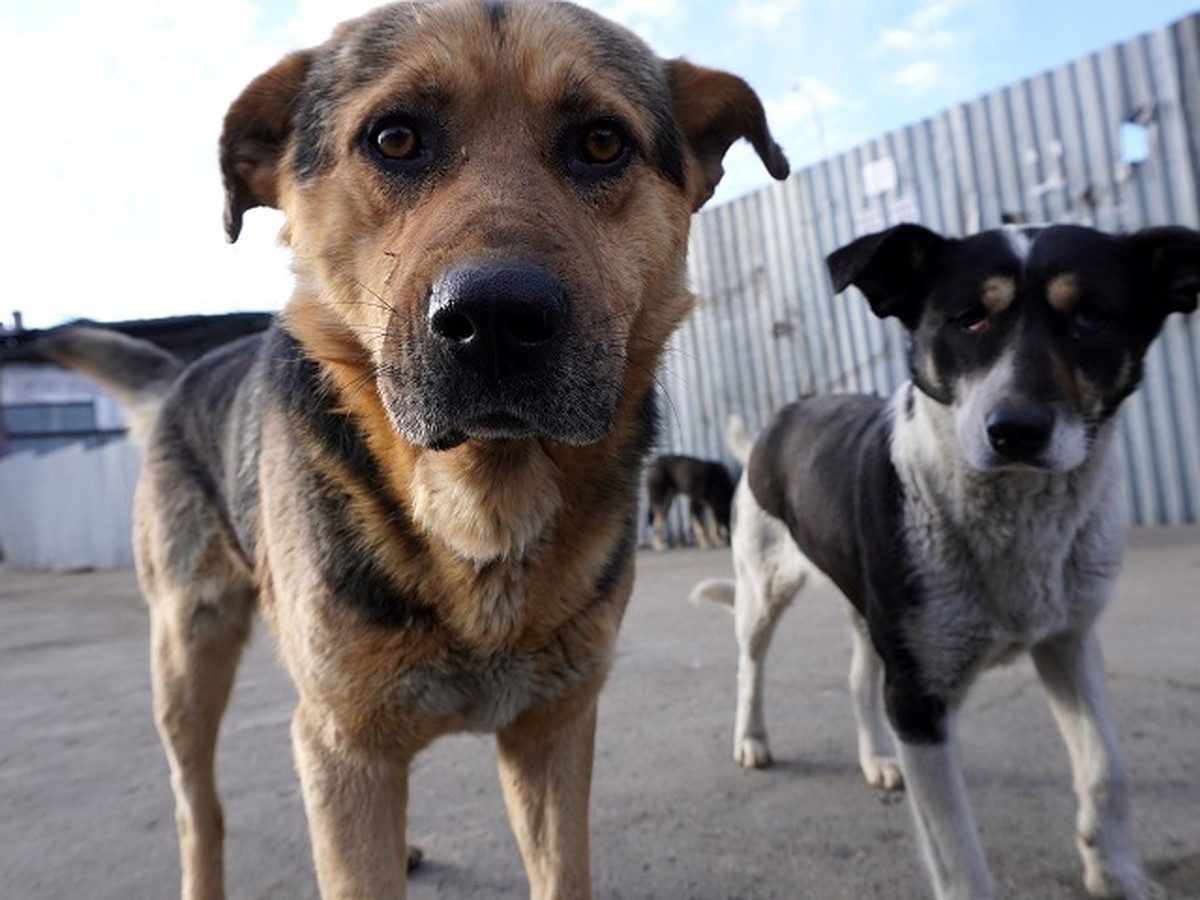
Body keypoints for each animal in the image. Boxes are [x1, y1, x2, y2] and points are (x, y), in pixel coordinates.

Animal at [39, 1, 787, 900]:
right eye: (395, 139)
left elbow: (560, 869)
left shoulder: (553, 729)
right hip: (188, 656)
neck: (480, 508)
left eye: (602, 142)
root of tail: (186, 374)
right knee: (200, 811)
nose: (497, 319)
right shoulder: (342, 744)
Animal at [696, 220, 1200, 900]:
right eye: (969, 318)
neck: (1015, 515)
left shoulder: (1068, 642)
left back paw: (877, 759)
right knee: (750, 665)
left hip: (870, 612)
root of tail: (779, 421)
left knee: (858, 678)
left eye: (1091, 316)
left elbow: (1106, 766)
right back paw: (752, 741)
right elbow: (957, 852)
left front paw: (1115, 872)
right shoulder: (918, 698)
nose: (1015, 430)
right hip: (763, 587)